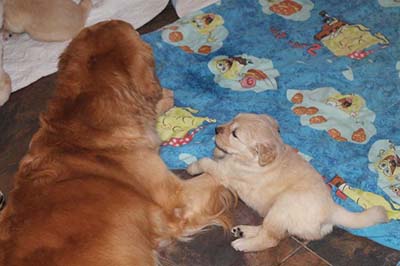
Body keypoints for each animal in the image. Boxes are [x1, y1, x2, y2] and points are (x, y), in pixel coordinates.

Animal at [188, 113, 388, 252]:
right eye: (232, 120)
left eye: (235, 134)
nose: (216, 129)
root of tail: (331, 209)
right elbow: (218, 154)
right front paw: (218, 150)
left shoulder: (226, 173)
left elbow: (206, 162)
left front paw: (192, 167)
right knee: (272, 231)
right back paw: (244, 231)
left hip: (282, 206)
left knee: (271, 238)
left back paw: (243, 243)